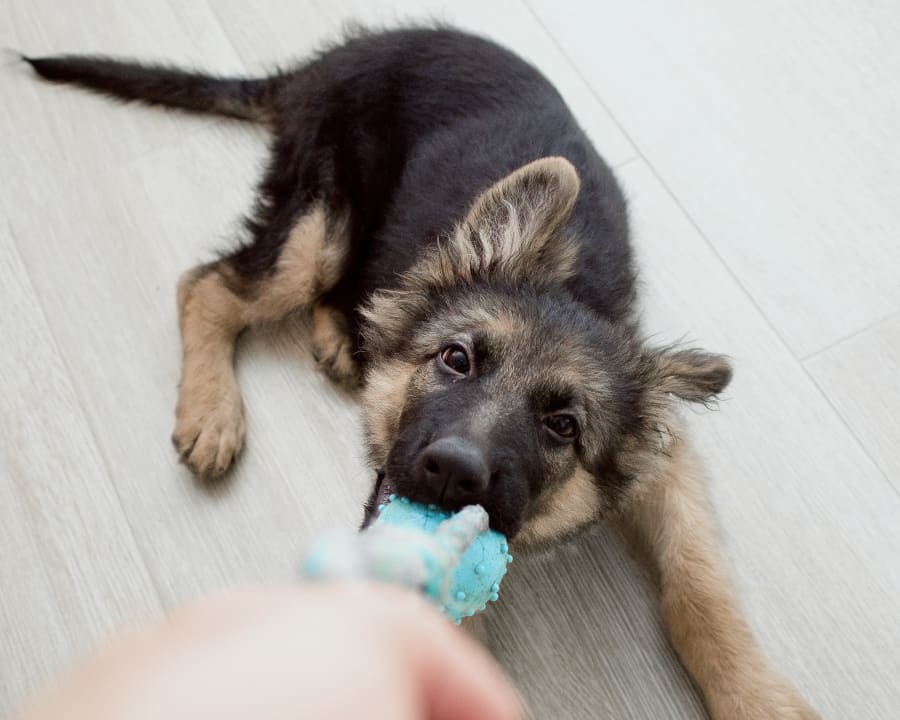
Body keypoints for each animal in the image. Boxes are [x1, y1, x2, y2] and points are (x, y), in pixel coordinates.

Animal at [26, 25, 816, 716]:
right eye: (456, 359)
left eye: (564, 426)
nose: (453, 472)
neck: (576, 290)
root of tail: (333, 59)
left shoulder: (665, 459)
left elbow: (699, 587)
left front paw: (758, 698)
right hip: (323, 221)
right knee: (212, 283)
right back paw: (213, 410)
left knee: (355, 291)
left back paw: (344, 339)